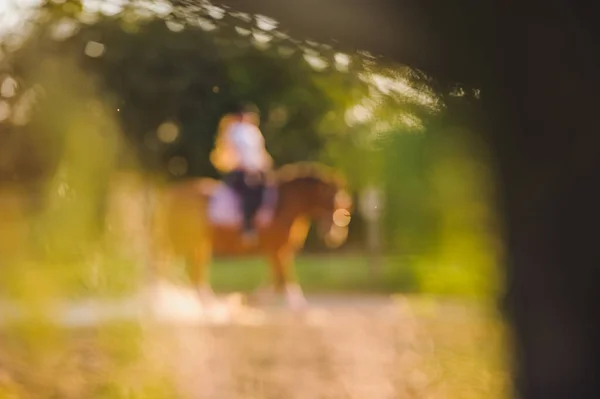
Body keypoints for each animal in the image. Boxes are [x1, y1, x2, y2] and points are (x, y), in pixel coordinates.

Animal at [150, 162, 354, 310]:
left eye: (343, 203)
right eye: (332, 201)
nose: (335, 236)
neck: (283, 205)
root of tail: (171, 193)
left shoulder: (277, 250)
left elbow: (277, 277)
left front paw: (255, 299)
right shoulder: (277, 249)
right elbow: (284, 277)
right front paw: (296, 305)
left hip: (196, 244)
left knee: (189, 271)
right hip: (186, 242)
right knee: (174, 268)